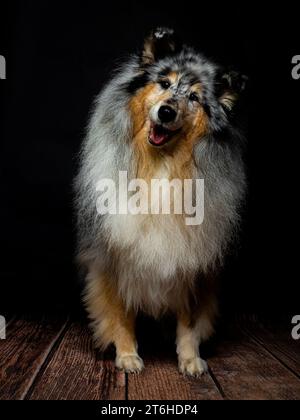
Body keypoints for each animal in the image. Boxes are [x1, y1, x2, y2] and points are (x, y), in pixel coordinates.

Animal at [75, 29, 246, 378]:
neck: (161, 164)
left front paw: (190, 359)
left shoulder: (192, 266)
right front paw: (127, 356)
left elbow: (189, 324)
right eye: (165, 83)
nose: (167, 112)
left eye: (194, 97)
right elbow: (121, 315)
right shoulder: (116, 258)